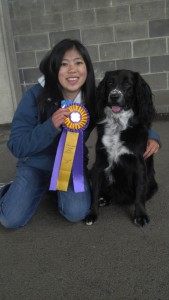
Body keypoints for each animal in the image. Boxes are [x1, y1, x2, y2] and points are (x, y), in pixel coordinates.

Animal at [86, 69, 158, 226]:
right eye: (109, 83)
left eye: (128, 84)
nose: (114, 96)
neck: (118, 125)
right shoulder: (99, 164)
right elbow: (94, 192)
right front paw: (92, 213)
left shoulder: (139, 165)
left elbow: (139, 193)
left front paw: (140, 215)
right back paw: (104, 198)